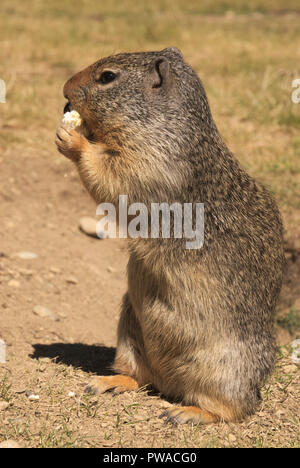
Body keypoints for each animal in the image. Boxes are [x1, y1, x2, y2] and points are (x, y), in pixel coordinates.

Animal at [55, 46, 284, 424]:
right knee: (142, 378)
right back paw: (108, 382)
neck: (164, 124)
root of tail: (171, 385)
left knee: (235, 408)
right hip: (128, 331)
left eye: (107, 77)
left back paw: (187, 413)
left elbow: (112, 175)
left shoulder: (151, 163)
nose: (64, 90)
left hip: (225, 369)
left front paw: (72, 138)